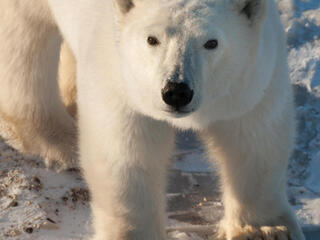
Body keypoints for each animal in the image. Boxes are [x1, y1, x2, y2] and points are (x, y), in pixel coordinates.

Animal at [0, 0, 304, 239]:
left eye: (211, 42)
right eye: (152, 39)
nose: (177, 91)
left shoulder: (252, 76)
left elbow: (255, 140)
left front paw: (266, 231)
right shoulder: (119, 71)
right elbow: (127, 153)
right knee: (24, 38)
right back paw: (56, 138)